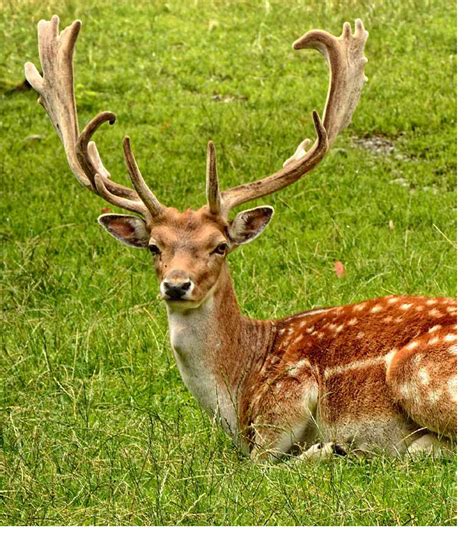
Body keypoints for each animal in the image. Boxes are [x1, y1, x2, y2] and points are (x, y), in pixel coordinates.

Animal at [25, 15, 456, 460]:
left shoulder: (286, 396)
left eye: (220, 246)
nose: (176, 285)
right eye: (154, 247)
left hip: (415, 375)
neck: (237, 389)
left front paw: (324, 449)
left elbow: (260, 462)